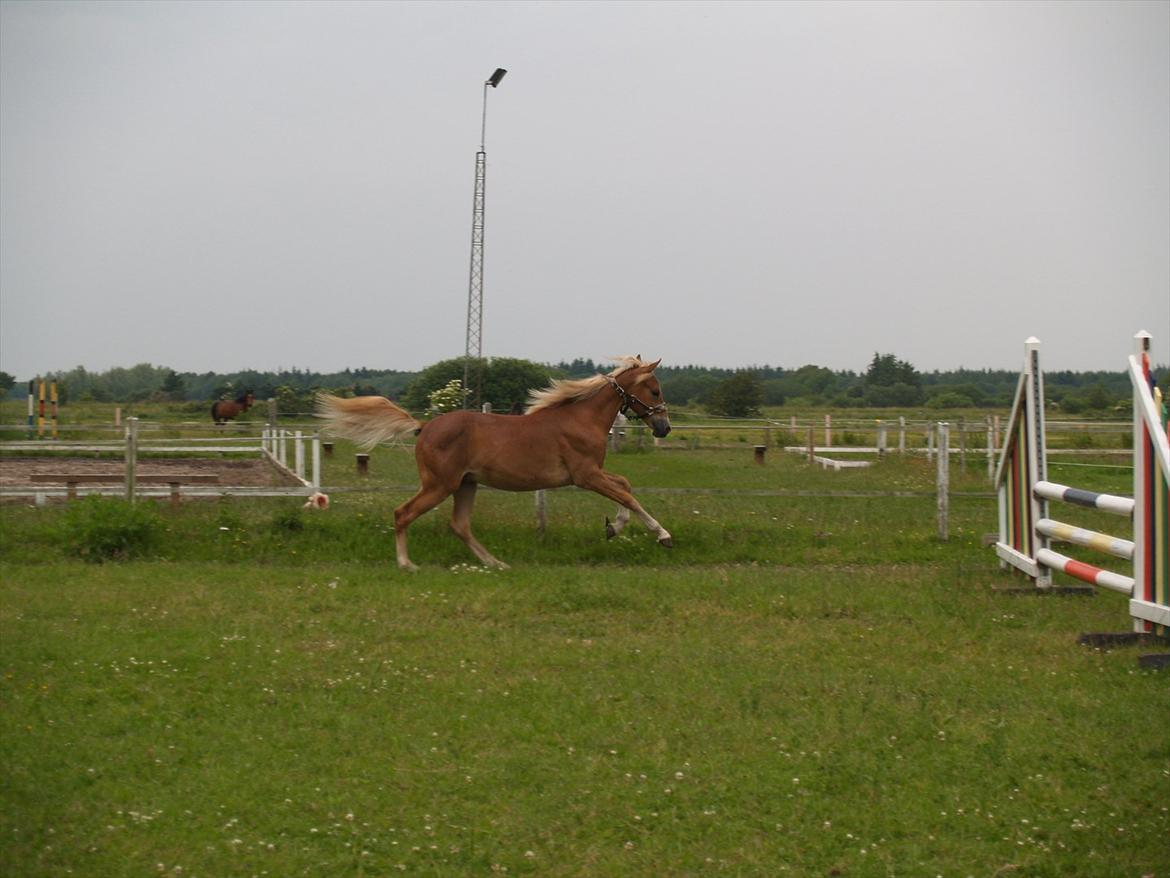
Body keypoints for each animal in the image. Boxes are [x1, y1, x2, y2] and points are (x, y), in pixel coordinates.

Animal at [316, 356, 672, 570]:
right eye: (655, 390)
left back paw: (495, 563)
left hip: (466, 484)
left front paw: (613, 527)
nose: (664, 428)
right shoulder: (585, 475)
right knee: (403, 513)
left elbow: (625, 485)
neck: (581, 418)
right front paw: (662, 535)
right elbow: (627, 494)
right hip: (440, 485)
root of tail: (423, 426)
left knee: (459, 525)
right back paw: (407, 564)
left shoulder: (592, 473)